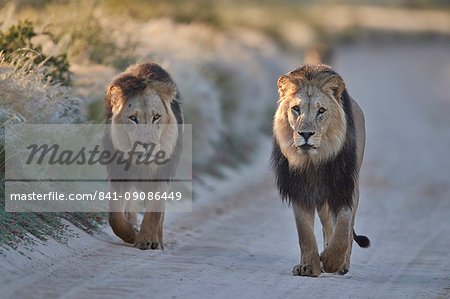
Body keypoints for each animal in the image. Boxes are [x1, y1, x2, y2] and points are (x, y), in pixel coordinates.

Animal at [103, 61, 183, 251]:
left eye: (156, 117)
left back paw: (158, 240)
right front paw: (132, 234)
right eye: (133, 118)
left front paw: (148, 240)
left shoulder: (162, 174)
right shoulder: (118, 173)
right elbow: (114, 217)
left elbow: (154, 212)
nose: (147, 146)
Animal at [270, 64, 370, 278]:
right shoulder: (299, 189)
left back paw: (341, 265)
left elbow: (344, 227)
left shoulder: (344, 185)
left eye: (321, 111)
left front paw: (332, 261)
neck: (313, 161)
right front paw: (308, 266)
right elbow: (305, 232)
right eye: (296, 109)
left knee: (344, 229)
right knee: (326, 225)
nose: (306, 134)